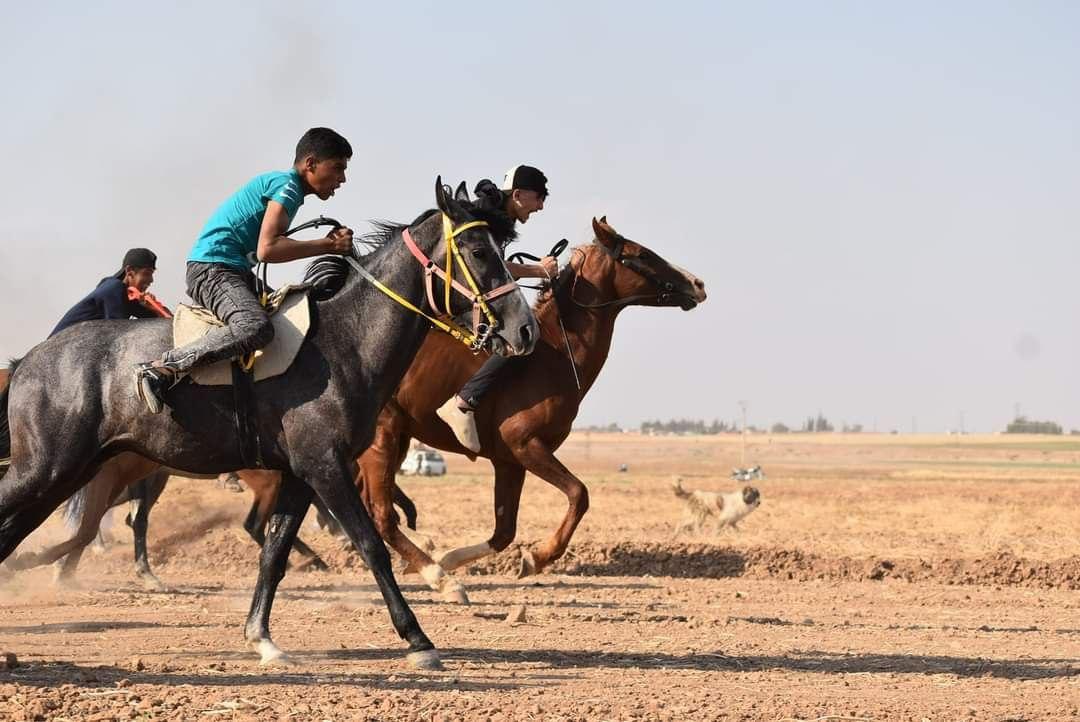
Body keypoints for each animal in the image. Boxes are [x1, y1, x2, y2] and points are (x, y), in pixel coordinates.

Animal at [0, 176, 537, 669]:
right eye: (477, 250)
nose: (525, 329)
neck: (346, 342)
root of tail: (27, 361)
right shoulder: (326, 467)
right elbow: (370, 544)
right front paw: (418, 639)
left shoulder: (301, 474)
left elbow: (275, 551)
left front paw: (261, 637)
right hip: (47, 469)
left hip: (71, 471)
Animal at [356, 216, 708, 600]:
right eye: (640, 254)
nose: (697, 284)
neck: (554, 355)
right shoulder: (525, 445)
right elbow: (579, 494)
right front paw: (538, 557)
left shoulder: (509, 462)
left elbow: (504, 532)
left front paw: (452, 557)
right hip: (383, 436)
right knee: (381, 514)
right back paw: (440, 578)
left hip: (396, 439)